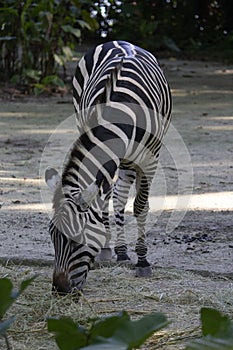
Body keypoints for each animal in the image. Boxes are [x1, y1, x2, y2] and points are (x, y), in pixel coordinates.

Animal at [45, 39, 171, 294]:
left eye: (78, 238)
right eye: (52, 234)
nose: (60, 290)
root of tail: (117, 40)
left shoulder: (150, 159)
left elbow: (140, 206)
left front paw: (143, 261)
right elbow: (104, 196)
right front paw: (106, 245)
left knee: (121, 197)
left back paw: (125, 252)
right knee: (112, 195)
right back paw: (114, 249)